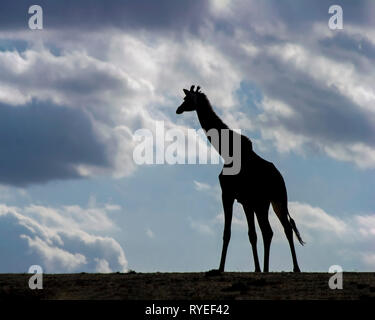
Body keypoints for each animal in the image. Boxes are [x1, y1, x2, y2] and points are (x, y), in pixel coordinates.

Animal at [177, 85, 306, 272]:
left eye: (186, 99)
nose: (178, 109)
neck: (226, 152)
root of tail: (280, 179)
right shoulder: (245, 201)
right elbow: (251, 235)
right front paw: (256, 269)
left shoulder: (227, 194)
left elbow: (227, 233)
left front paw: (220, 268)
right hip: (268, 202)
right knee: (276, 230)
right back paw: (274, 268)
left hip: (275, 200)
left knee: (279, 229)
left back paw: (290, 268)